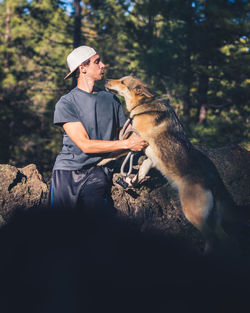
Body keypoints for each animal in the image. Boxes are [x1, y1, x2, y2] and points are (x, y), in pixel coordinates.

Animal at [99, 75, 242, 254]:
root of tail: (213, 181)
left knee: (212, 239)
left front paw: (97, 160)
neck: (143, 105)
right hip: (213, 219)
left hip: (193, 213)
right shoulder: (150, 157)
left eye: (123, 82)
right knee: (225, 240)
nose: (106, 79)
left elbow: (111, 153)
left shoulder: (133, 140)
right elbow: (142, 171)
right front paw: (131, 181)